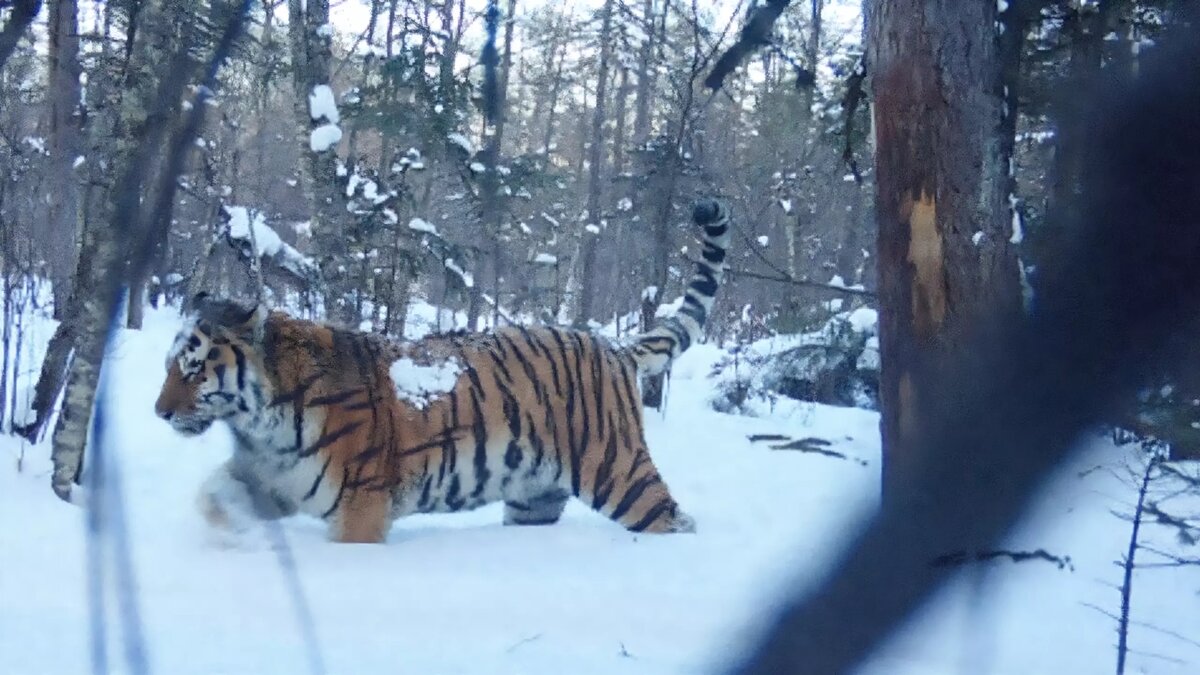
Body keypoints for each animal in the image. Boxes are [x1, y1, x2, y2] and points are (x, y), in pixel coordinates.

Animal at [152, 196, 729, 538]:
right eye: (169, 366)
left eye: (194, 367)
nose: (159, 413)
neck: (259, 423)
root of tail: (612, 347)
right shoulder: (265, 478)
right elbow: (214, 496)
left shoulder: (360, 507)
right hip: (534, 497)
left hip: (618, 473)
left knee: (673, 519)